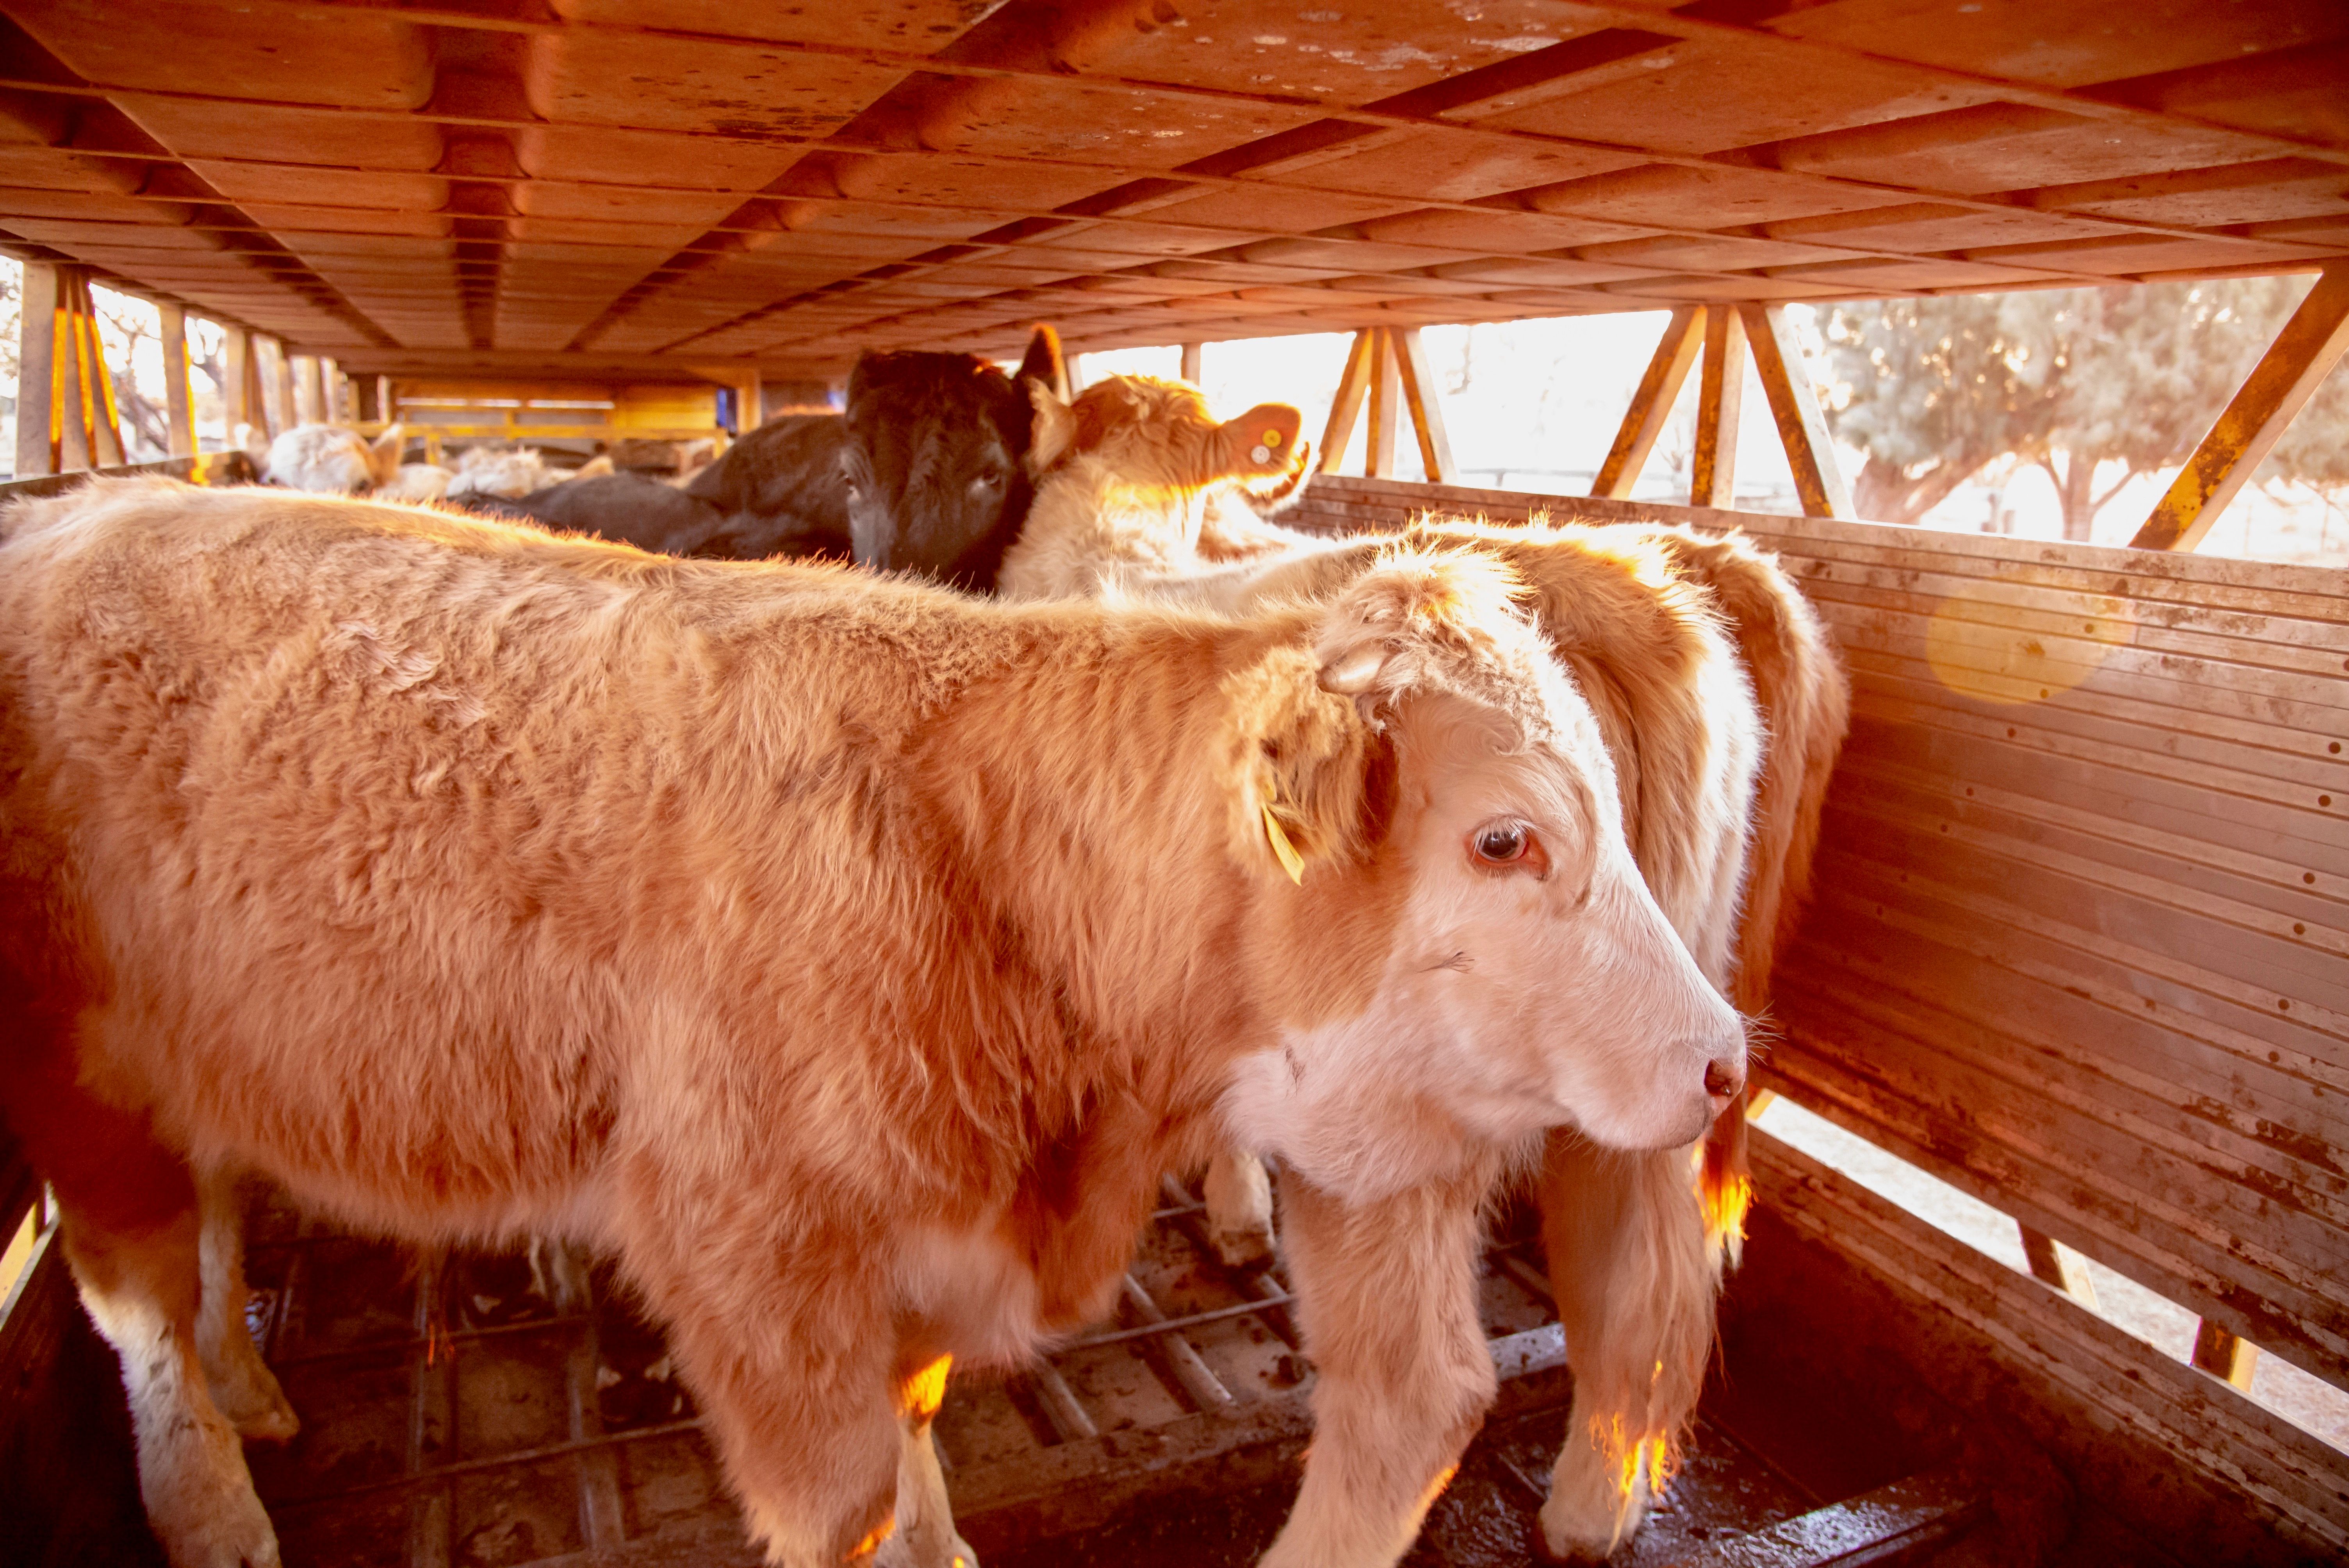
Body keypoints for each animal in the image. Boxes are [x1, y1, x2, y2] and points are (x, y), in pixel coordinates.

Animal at [0, 478, 1744, 1568]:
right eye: (1504, 837)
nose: (1726, 1060)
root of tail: (87, 509)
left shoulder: (912, 1245)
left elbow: (912, 1474)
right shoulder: (761, 1275)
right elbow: (848, 1501)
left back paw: (252, 1384)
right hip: (88, 1071)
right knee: (140, 1296)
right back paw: (215, 1493)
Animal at [988, 373, 1847, 1560]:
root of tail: (1631, 573)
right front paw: (1239, 1210)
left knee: (1422, 1383)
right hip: (1658, 1025)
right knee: (1645, 1275)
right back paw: (1598, 1506)